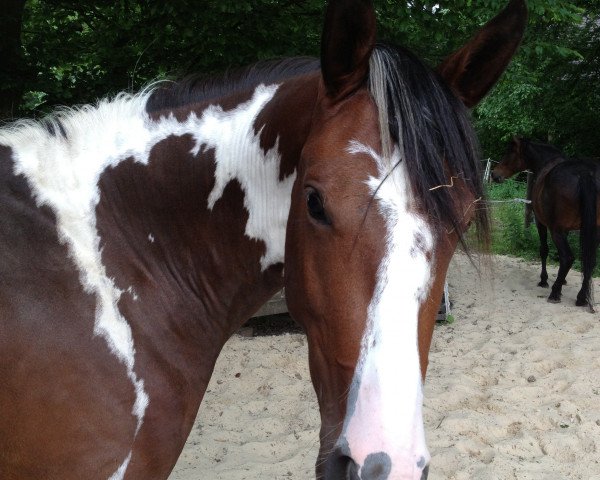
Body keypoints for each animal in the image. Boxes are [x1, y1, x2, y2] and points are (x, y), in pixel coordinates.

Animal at [492, 137, 600, 314]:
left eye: (510, 152)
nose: (495, 174)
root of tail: (585, 173)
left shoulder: (541, 222)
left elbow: (544, 250)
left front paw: (545, 280)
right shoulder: (567, 230)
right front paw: (563, 280)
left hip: (556, 231)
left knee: (568, 257)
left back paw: (555, 293)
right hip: (593, 231)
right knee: (589, 261)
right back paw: (581, 297)